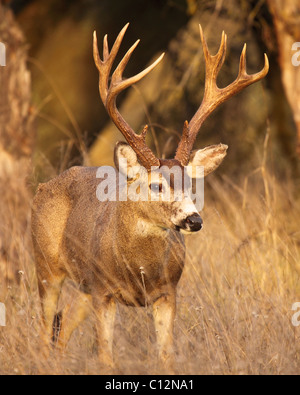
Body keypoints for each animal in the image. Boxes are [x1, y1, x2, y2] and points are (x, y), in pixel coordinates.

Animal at [31, 24, 268, 372]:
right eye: (156, 185)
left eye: (192, 184)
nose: (193, 220)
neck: (138, 271)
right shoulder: (104, 293)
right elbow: (105, 359)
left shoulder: (168, 293)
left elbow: (165, 357)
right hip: (47, 267)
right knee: (44, 333)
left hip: (83, 289)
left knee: (60, 336)